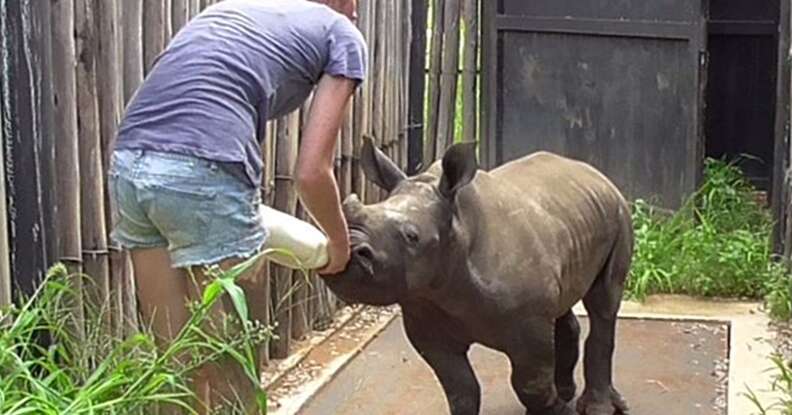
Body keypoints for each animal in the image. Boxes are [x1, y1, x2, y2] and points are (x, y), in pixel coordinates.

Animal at [324, 139, 632, 415]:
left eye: (412, 237)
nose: (348, 250)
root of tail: (596, 173)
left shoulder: (529, 322)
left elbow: (529, 383)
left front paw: (556, 410)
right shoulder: (425, 317)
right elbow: (460, 388)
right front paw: (557, 404)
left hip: (619, 213)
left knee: (603, 304)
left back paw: (597, 408)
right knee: (564, 301)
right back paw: (569, 393)